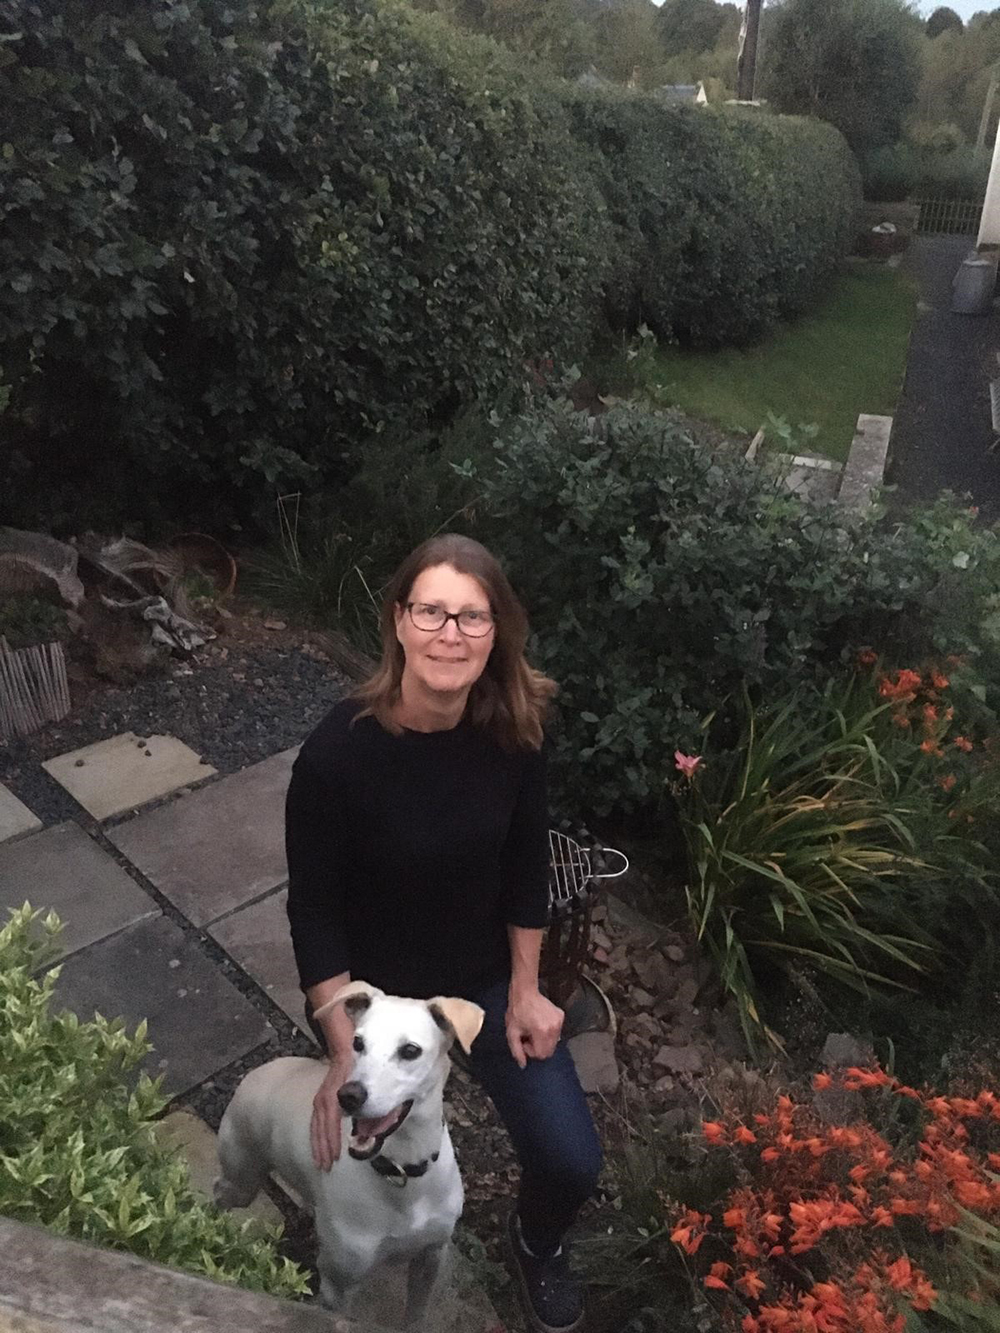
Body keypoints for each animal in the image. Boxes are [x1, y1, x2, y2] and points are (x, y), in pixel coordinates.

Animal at [216, 981, 485, 1322]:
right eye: (357, 1042)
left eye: (410, 1050)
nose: (348, 1095)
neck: (400, 1171)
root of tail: (260, 1070)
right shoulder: (338, 1284)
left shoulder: (431, 1257)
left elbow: (415, 1313)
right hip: (242, 1178)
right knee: (220, 1192)